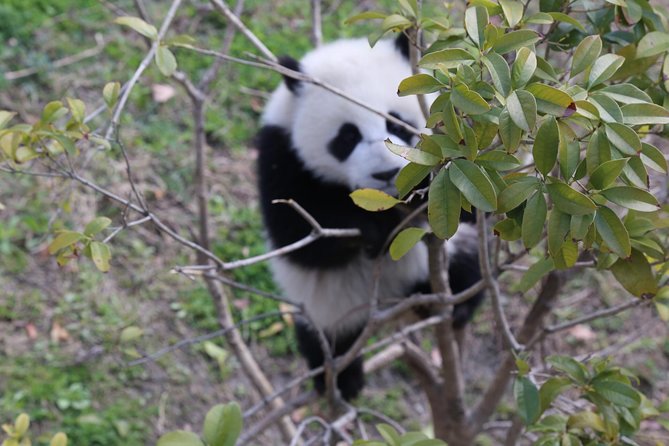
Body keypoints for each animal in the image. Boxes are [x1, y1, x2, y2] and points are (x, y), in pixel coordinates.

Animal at [258, 35, 482, 400]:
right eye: (347, 137)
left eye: (395, 122)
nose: (386, 173)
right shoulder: (280, 155)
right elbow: (299, 239)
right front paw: (373, 230)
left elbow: (470, 203)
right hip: (327, 307)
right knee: (325, 339)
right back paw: (341, 380)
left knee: (466, 260)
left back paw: (457, 307)